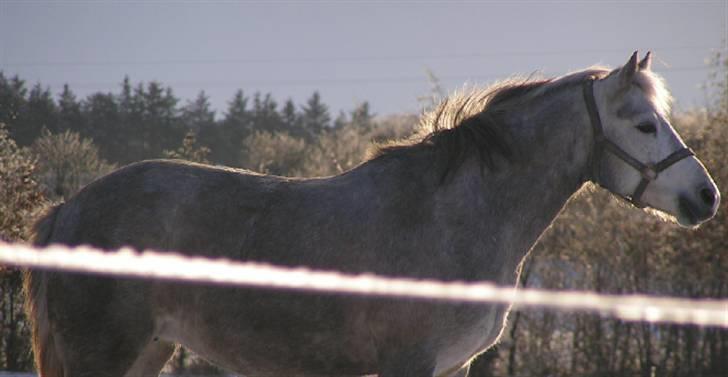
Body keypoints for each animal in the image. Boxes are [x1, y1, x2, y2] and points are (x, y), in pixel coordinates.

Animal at [22, 52, 716, 376]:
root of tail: (68, 209)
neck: (451, 217)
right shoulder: (408, 364)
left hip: (147, 351)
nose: (706, 197)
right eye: (644, 123)